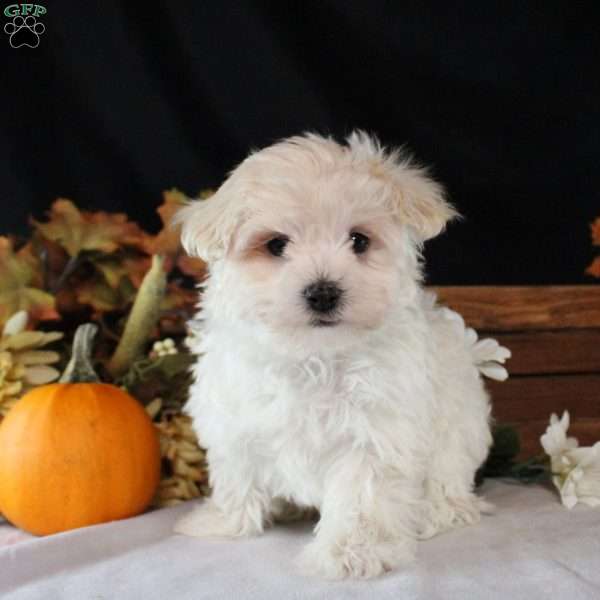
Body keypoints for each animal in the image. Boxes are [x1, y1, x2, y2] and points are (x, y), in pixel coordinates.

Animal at [173, 131, 510, 576]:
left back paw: (432, 513)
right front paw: (224, 521)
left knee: (449, 487)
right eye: (276, 245)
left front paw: (351, 553)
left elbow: (360, 496)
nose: (323, 292)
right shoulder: (234, 418)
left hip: (457, 437)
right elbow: (237, 474)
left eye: (359, 240)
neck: (313, 356)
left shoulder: (374, 435)